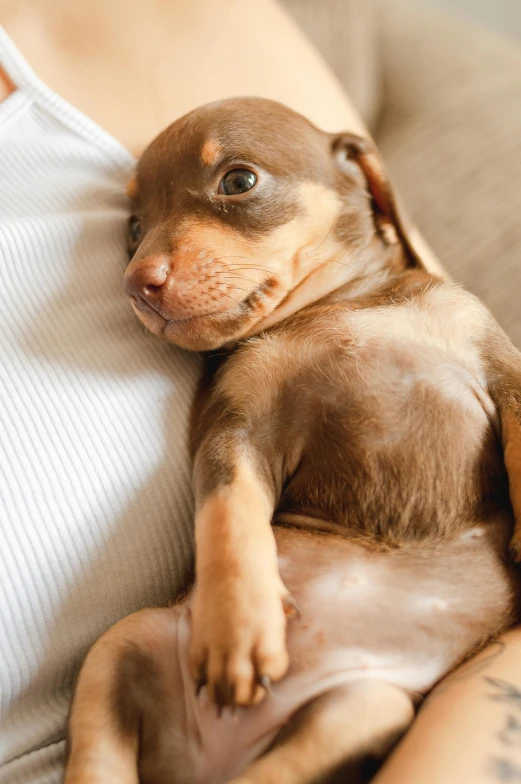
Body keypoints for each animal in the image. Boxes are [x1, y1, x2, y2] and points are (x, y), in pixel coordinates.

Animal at [64, 98, 520, 784]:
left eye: (238, 181)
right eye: (135, 227)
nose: (137, 282)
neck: (339, 307)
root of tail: (207, 760)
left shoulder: (502, 367)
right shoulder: (236, 429)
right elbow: (227, 516)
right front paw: (237, 629)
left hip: (361, 706)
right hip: (122, 646)